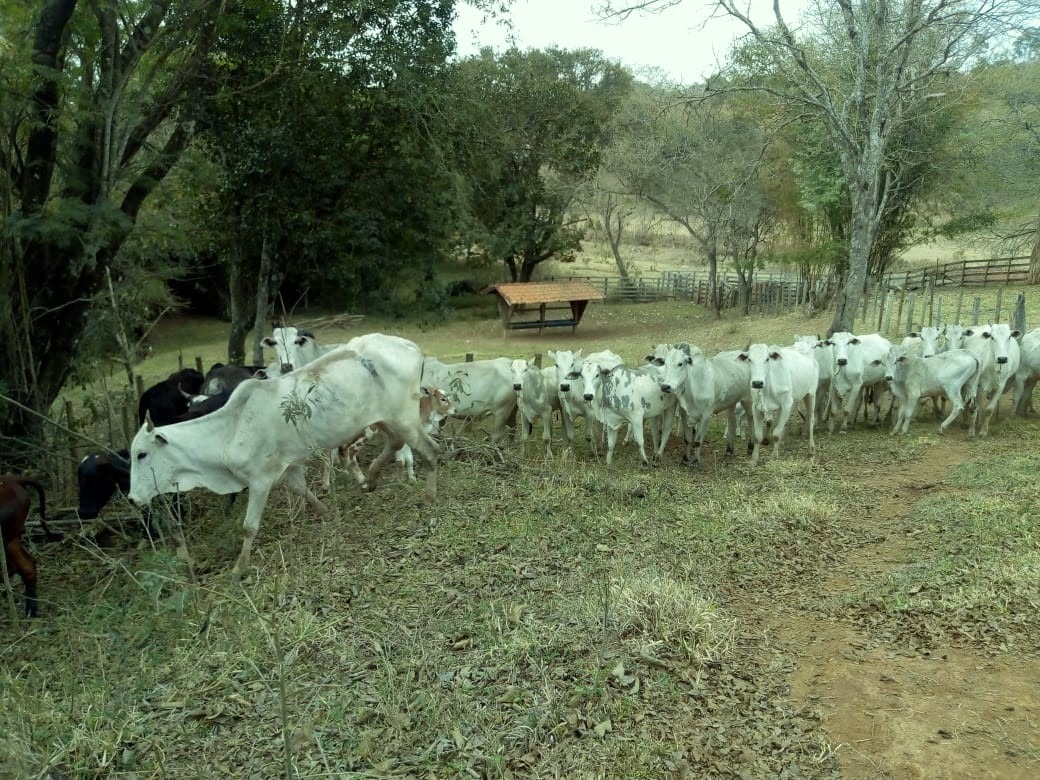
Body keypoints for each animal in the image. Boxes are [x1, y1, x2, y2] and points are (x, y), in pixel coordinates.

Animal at [127, 334, 436, 574]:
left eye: (141, 454)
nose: (132, 498)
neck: (231, 429)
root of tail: (411, 346)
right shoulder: (289, 468)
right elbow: (305, 493)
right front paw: (327, 513)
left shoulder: (260, 480)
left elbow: (249, 526)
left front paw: (238, 569)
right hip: (385, 419)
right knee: (396, 443)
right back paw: (370, 478)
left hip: (403, 417)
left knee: (430, 450)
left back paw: (430, 496)